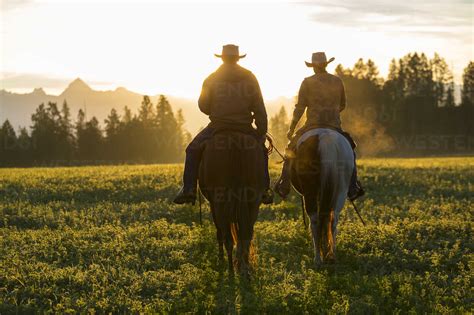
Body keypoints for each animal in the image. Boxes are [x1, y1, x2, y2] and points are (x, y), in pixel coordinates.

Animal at [197, 131, 266, 276]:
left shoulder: (214, 205)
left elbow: (220, 232)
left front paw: (221, 259)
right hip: (253, 202)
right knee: (247, 234)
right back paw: (244, 269)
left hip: (220, 203)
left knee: (227, 237)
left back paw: (230, 270)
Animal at [290, 128, 354, 264]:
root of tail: (325, 139)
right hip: (341, 190)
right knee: (333, 220)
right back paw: (332, 255)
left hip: (310, 191)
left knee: (315, 220)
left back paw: (318, 259)